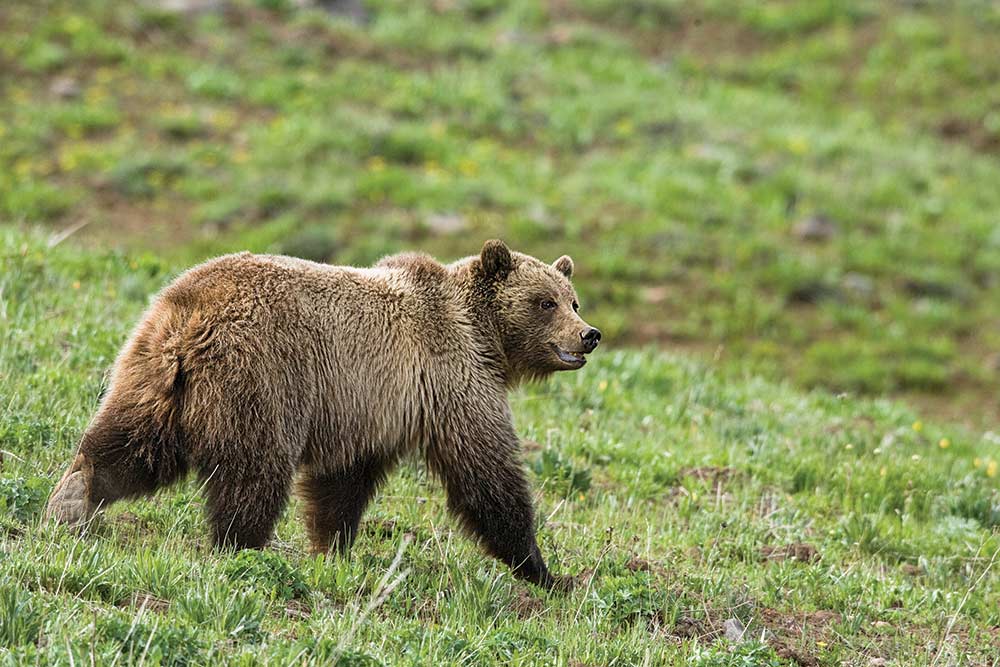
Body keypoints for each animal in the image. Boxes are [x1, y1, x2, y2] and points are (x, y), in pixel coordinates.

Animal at [47, 239, 600, 588]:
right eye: (545, 301)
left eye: (573, 300)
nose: (589, 334)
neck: (486, 339)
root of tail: (190, 312)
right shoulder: (449, 378)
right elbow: (487, 472)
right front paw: (545, 571)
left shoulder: (370, 407)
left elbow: (342, 483)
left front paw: (333, 549)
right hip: (262, 378)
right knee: (253, 473)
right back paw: (241, 549)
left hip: (152, 375)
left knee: (131, 443)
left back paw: (72, 498)